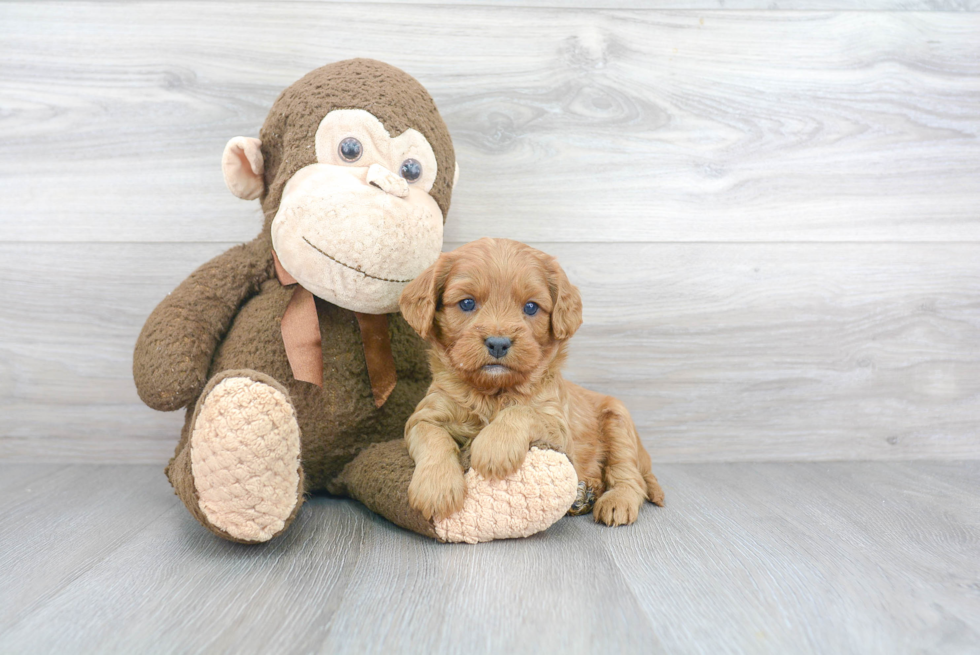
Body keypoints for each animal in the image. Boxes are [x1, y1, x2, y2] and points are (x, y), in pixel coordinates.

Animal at [400, 238, 668, 524]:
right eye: (467, 303)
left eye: (530, 307)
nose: (498, 343)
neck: (492, 392)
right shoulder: (425, 415)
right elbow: (433, 438)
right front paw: (436, 488)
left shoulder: (557, 424)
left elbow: (522, 410)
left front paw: (495, 446)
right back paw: (583, 496)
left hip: (618, 420)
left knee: (630, 475)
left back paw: (616, 501)